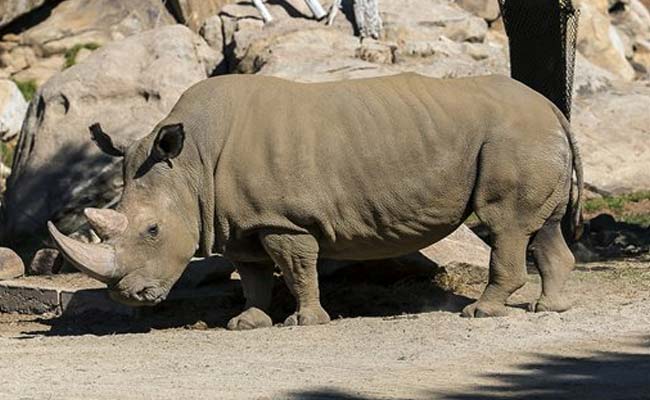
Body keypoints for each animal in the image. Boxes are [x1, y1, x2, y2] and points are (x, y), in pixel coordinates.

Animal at [48, 73, 583, 329]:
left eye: (153, 230)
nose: (128, 296)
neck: (191, 165)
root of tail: (552, 107)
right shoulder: (239, 221)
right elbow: (253, 274)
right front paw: (246, 323)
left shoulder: (282, 219)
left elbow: (296, 268)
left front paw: (304, 322)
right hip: (530, 137)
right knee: (544, 228)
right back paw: (551, 309)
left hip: (515, 137)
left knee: (506, 225)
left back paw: (480, 314)